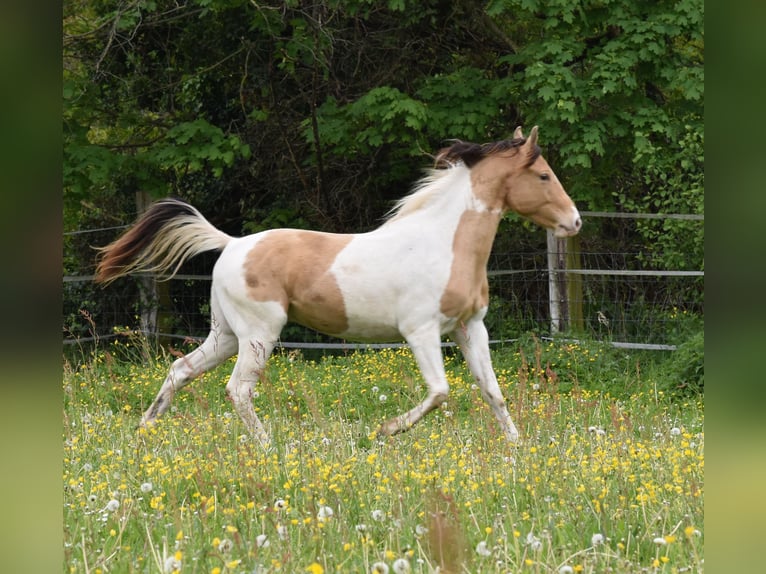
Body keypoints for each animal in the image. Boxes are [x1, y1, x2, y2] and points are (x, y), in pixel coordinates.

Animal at [95, 126, 581, 447]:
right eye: (543, 176)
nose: (574, 221)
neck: (443, 241)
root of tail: (231, 243)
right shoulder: (421, 331)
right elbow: (440, 392)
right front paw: (386, 430)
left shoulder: (470, 327)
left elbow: (492, 391)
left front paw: (517, 448)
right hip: (259, 334)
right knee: (238, 389)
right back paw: (267, 447)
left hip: (227, 334)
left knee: (180, 369)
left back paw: (144, 430)